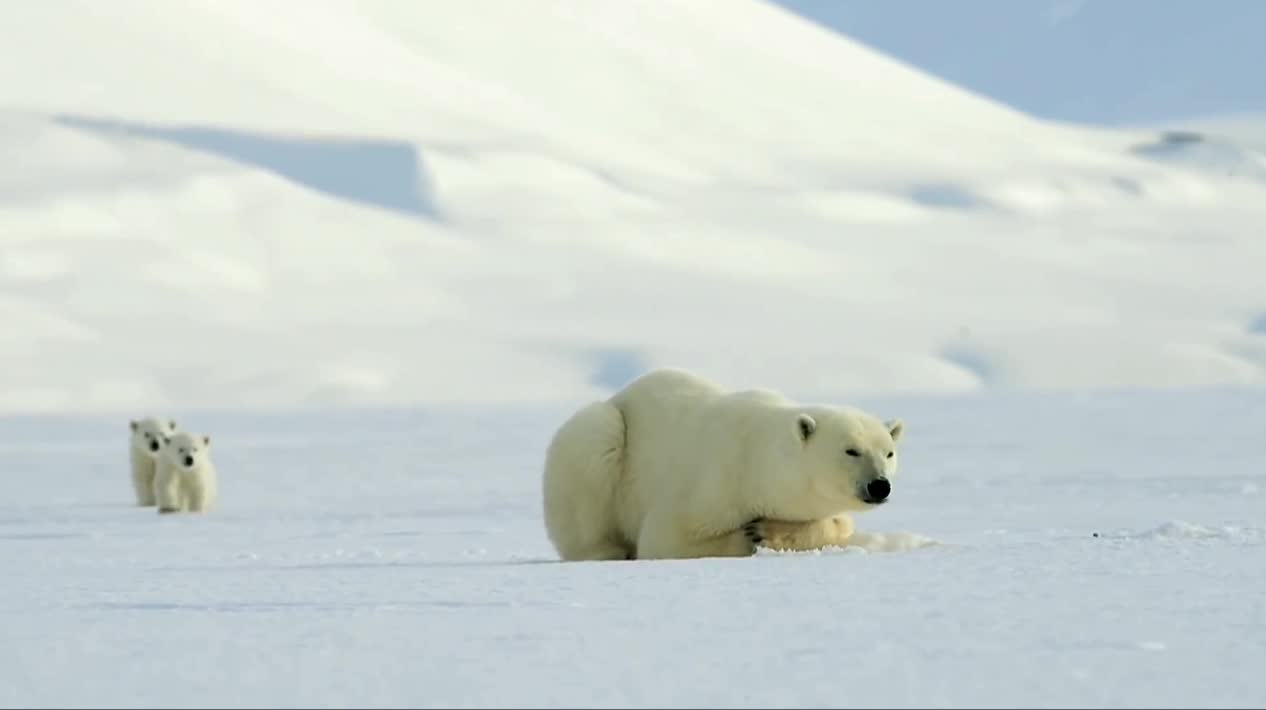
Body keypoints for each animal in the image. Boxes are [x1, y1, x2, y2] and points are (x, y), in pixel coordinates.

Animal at [539, 367, 906, 561]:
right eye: (851, 451)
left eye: (888, 452)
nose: (880, 485)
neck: (759, 459)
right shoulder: (714, 481)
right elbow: (666, 539)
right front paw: (751, 535)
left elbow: (838, 524)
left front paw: (771, 530)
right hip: (601, 440)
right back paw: (606, 551)